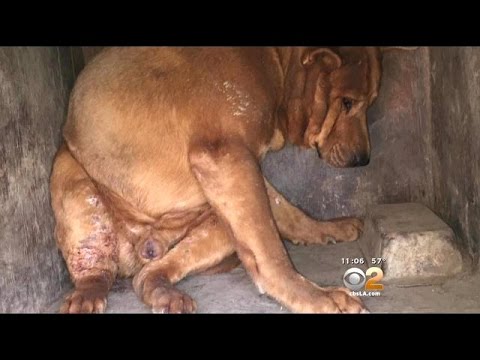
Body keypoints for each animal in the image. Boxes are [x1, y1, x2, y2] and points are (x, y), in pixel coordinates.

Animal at [51, 47, 386, 312]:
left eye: (370, 102)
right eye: (347, 102)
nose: (364, 160)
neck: (278, 63)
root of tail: (145, 243)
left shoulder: (242, 168)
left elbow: (285, 212)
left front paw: (328, 228)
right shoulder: (225, 156)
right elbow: (271, 251)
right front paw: (314, 297)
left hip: (215, 228)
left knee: (147, 276)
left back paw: (164, 292)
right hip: (76, 189)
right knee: (96, 273)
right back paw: (87, 295)